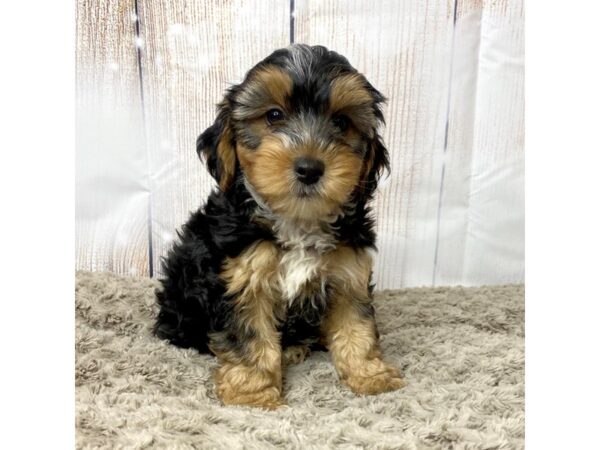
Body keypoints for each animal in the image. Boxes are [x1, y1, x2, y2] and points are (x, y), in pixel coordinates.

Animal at [155, 44, 408, 410]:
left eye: (341, 122)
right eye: (274, 116)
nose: (309, 168)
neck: (297, 219)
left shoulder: (348, 273)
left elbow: (357, 325)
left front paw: (370, 375)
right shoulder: (242, 278)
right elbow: (249, 337)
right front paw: (253, 393)